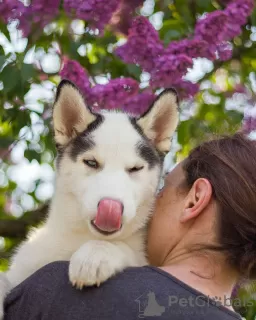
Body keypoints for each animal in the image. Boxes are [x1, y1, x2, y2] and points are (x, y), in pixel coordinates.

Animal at [0, 80, 179, 318]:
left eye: (135, 169)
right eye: (91, 163)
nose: (111, 207)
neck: (79, 238)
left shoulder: (141, 256)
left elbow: (123, 248)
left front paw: (95, 254)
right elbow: (4, 278)